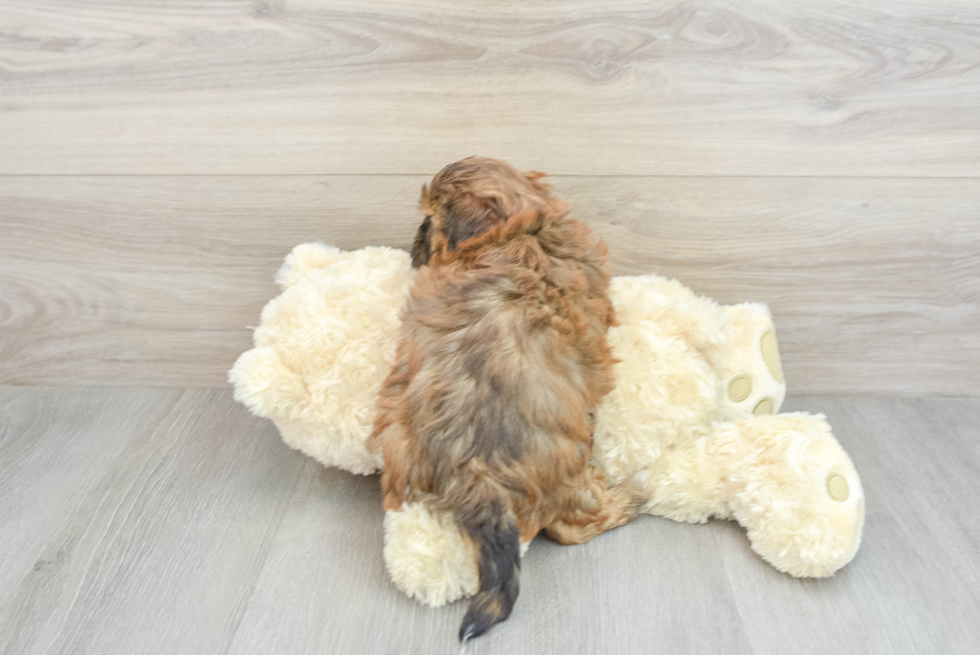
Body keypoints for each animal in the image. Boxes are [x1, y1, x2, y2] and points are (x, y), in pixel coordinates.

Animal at [372, 158, 640, 640]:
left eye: (430, 222)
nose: (415, 238)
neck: (523, 229)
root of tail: (476, 473)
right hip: (572, 464)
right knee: (573, 525)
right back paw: (628, 499)